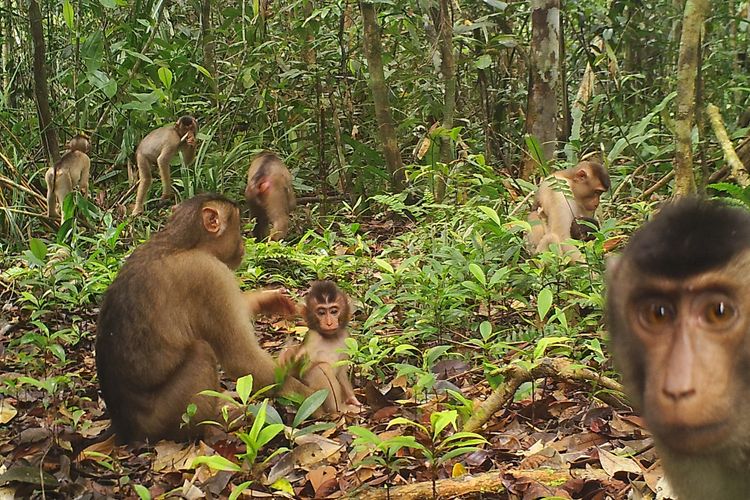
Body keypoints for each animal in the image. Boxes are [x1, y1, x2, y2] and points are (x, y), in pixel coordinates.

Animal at [282, 282, 364, 414]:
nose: (329, 323)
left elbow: (341, 372)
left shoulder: (345, 336)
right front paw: (288, 355)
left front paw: (353, 399)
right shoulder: (312, 338)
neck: (329, 337)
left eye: (334, 311)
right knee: (322, 368)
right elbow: (299, 370)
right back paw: (340, 408)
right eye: (321, 313)